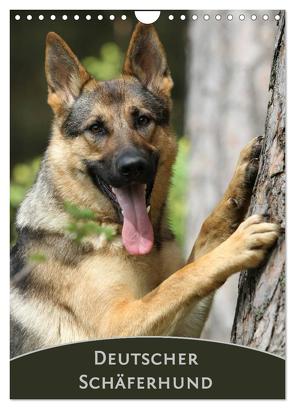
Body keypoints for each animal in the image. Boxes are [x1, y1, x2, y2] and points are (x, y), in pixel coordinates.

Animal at [11, 23, 280, 356]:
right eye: (96, 128)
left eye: (142, 120)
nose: (133, 166)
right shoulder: (119, 322)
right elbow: (181, 280)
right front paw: (238, 244)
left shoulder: (179, 326)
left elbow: (202, 242)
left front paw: (242, 175)